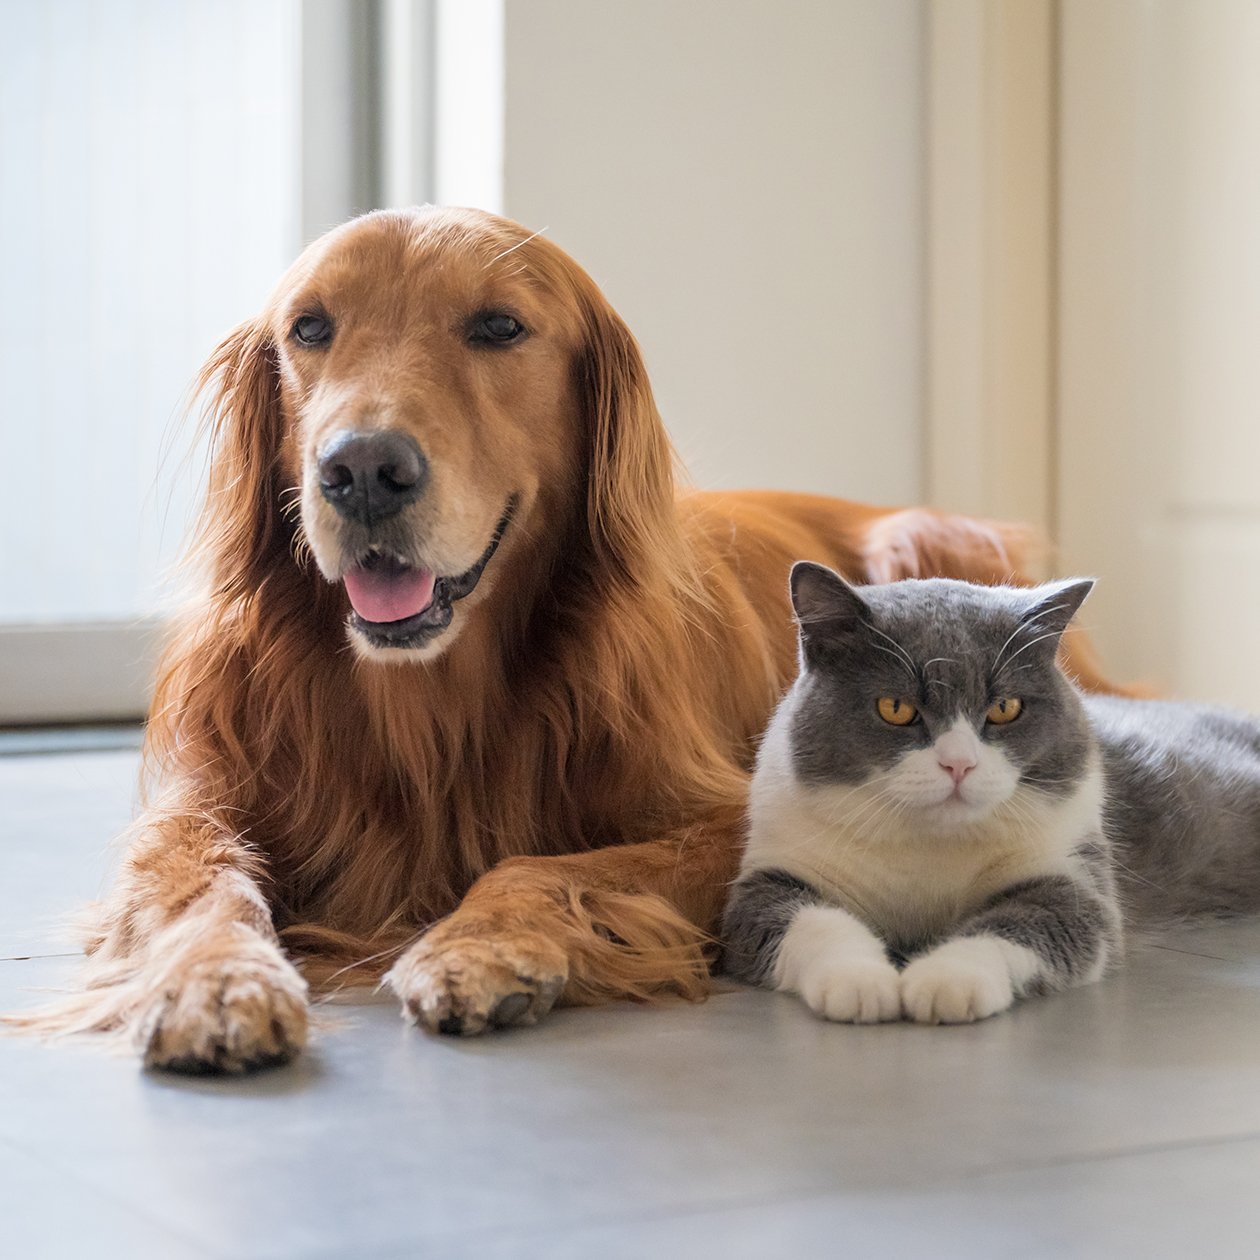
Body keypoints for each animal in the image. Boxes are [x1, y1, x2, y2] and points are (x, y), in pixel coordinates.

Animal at [14, 209, 1123, 1073]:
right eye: (311, 327)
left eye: (500, 326)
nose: (361, 471)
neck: (430, 706)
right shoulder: (198, 806)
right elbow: (199, 886)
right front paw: (216, 983)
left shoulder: (726, 815)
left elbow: (544, 865)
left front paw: (476, 949)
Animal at [725, 569, 1260, 1023]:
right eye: (895, 707)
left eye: (1005, 707)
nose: (959, 764)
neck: (928, 850)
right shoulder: (773, 874)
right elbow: (807, 921)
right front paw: (861, 984)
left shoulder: (1073, 877)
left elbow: (1021, 925)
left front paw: (944, 981)